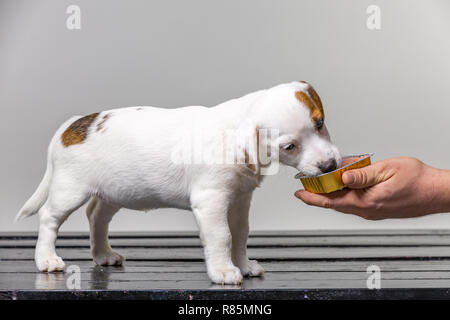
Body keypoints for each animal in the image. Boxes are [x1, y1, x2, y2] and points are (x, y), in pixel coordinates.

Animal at [17, 81, 342, 284]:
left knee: (96, 215)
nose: (330, 166)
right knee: (49, 218)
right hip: (69, 190)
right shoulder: (211, 202)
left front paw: (243, 265)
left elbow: (239, 234)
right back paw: (46, 258)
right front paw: (224, 271)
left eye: (319, 123)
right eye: (289, 146)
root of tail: (72, 125)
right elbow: (222, 236)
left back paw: (103, 255)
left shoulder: (240, 200)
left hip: (114, 192)